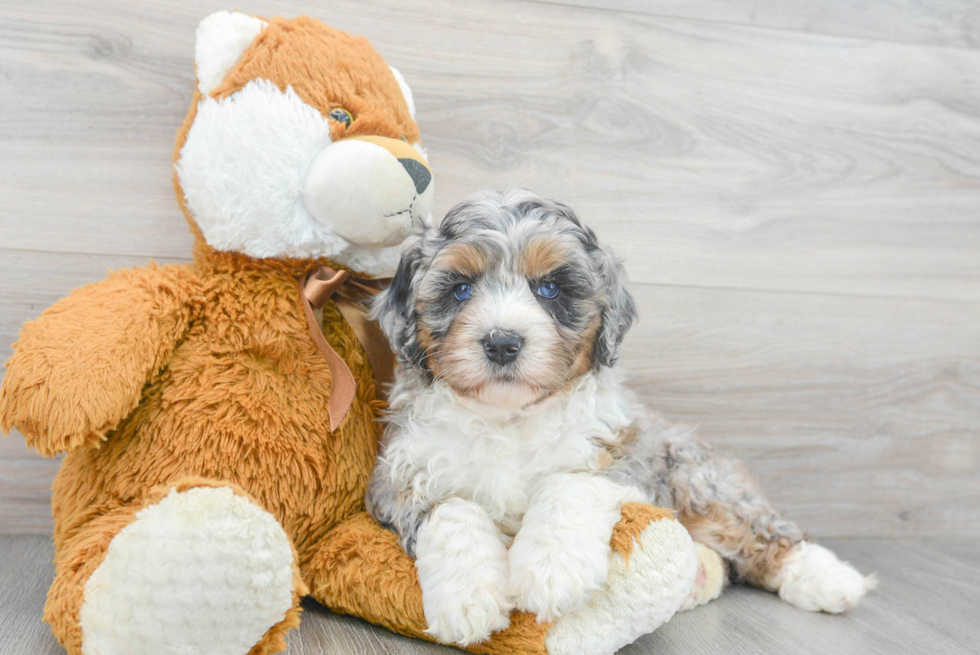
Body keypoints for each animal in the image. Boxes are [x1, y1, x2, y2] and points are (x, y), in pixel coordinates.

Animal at [366, 188, 872, 644]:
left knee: (759, 529)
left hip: (694, 475)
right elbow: (453, 510)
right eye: (460, 289)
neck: (509, 417)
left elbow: (567, 484)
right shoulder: (400, 476)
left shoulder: (625, 451)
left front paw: (553, 571)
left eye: (550, 288)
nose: (502, 342)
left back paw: (829, 578)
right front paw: (468, 598)